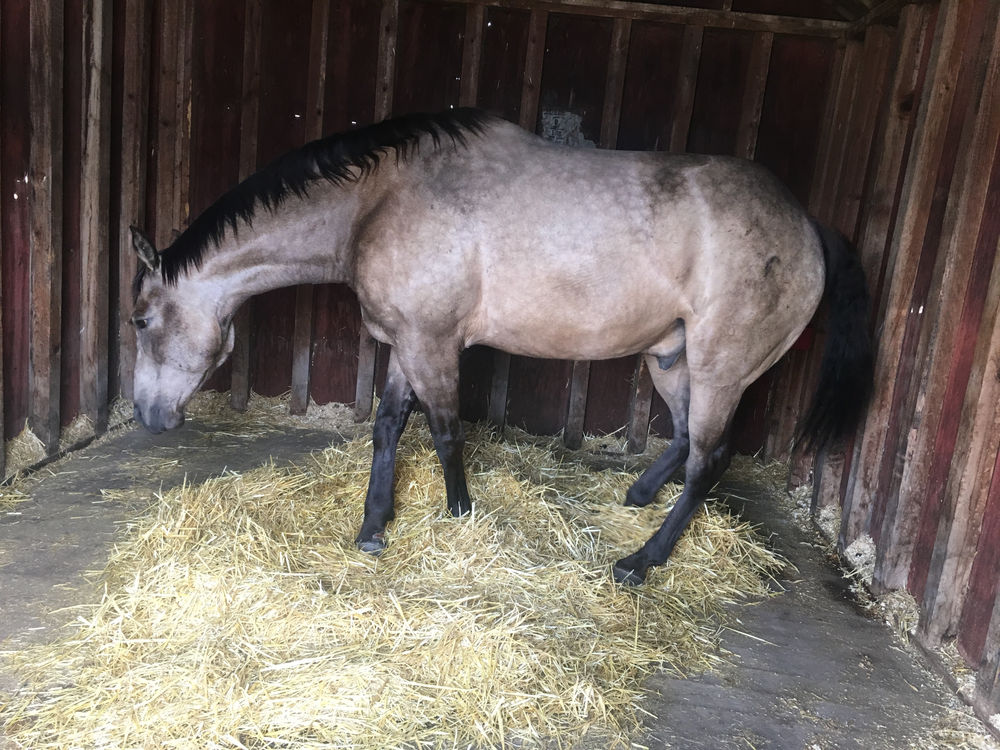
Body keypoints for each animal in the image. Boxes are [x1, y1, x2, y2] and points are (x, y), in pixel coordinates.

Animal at [129, 108, 873, 585]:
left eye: (139, 319)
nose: (145, 416)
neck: (379, 202)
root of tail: (807, 225)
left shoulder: (433, 343)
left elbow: (445, 430)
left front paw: (459, 513)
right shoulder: (405, 341)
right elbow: (389, 426)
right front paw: (374, 526)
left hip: (721, 370)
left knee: (709, 461)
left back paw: (641, 562)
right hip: (671, 358)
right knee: (688, 439)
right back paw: (637, 496)